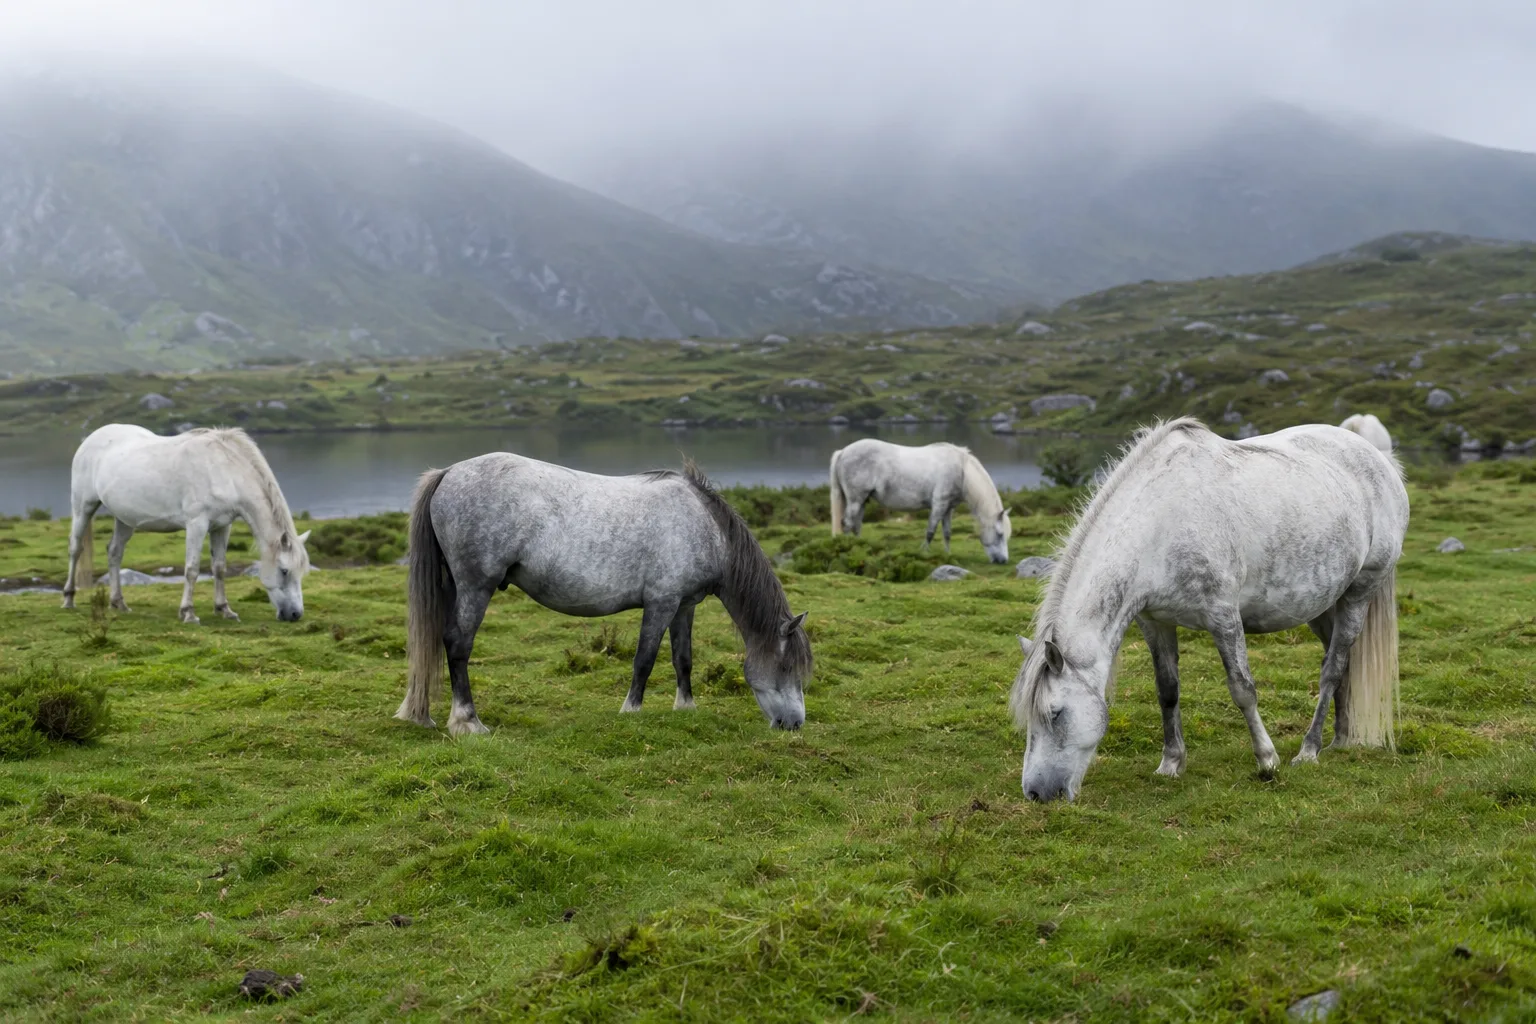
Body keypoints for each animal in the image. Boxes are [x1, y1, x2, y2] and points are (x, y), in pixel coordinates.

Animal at [63, 425, 311, 624]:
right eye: (284, 570)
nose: (295, 615)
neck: (224, 470)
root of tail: (91, 438)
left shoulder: (222, 526)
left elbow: (219, 567)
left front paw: (224, 609)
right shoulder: (197, 524)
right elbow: (192, 570)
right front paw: (188, 613)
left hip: (124, 518)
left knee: (114, 552)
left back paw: (119, 603)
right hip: (83, 506)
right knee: (76, 548)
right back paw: (68, 599)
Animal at [397, 456, 813, 736]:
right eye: (786, 667)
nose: (794, 723)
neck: (703, 526)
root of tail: (449, 473)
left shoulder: (683, 606)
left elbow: (683, 659)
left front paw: (685, 707)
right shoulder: (661, 603)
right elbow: (644, 660)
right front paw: (631, 711)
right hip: (476, 586)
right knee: (458, 644)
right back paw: (467, 721)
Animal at [829, 439, 1011, 563]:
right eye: (1000, 534)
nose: (1003, 561)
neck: (961, 470)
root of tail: (843, 451)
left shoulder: (948, 508)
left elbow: (947, 533)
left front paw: (948, 554)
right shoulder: (939, 505)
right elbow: (930, 531)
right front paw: (924, 552)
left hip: (862, 501)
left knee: (856, 525)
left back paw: (861, 547)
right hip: (855, 500)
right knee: (847, 523)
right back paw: (848, 548)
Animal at [1010, 417, 1408, 803]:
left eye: (1055, 713)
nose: (1037, 793)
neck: (1160, 523)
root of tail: (1380, 461)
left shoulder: (1223, 617)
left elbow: (1242, 688)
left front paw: (1267, 760)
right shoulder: (1154, 622)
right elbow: (1167, 690)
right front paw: (1171, 763)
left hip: (1359, 593)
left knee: (1332, 669)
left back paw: (1309, 750)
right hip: (1323, 604)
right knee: (1341, 663)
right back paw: (1339, 737)